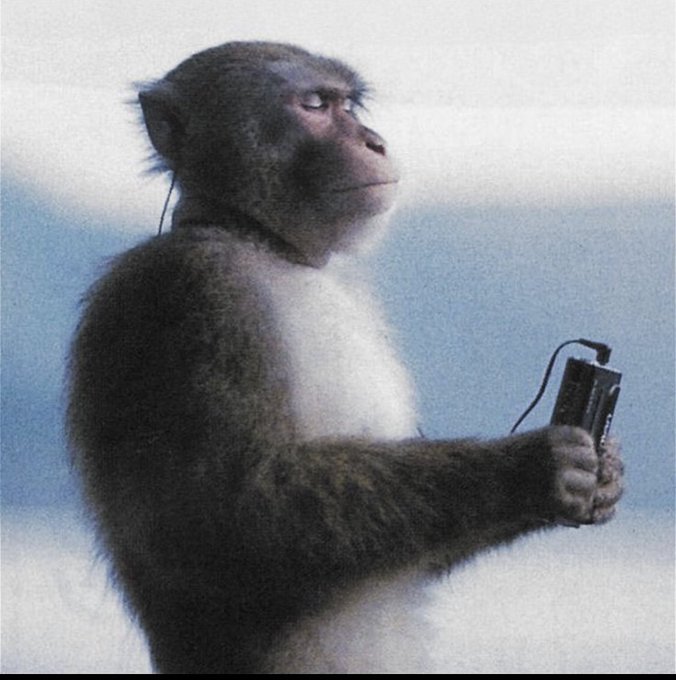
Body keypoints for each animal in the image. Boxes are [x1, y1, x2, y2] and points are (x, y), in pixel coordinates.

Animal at [66, 41, 624, 674]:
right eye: (314, 104)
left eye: (350, 105)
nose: (373, 141)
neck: (260, 241)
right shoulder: (192, 295)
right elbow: (222, 523)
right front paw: (535, 468)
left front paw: (604, 470)